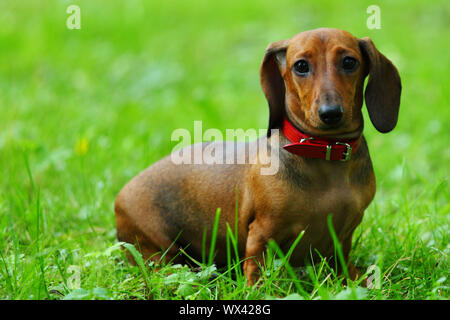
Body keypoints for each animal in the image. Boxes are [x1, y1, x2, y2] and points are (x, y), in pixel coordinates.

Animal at [115, 28, 400, 284]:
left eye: (349, 62)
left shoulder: (344, 235)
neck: (324, 151)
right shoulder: (261, 233)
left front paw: (358, 282)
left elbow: (343, 265)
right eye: (301, 66)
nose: (331, 113)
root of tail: (120, 195)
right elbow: (257, 272)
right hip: (158, 247)